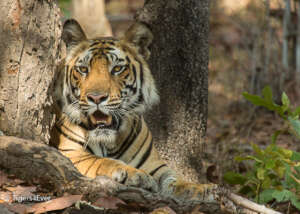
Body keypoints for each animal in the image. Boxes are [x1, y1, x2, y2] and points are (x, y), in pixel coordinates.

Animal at [50, 19, 217, 201]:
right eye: (83, 69)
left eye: (117, 69)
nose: (96, 98)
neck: (109, 142)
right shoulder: (69, 153)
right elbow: (100, 160)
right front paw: (136, 175)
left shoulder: (155, 164)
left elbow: (174, 178)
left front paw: (200, 189)